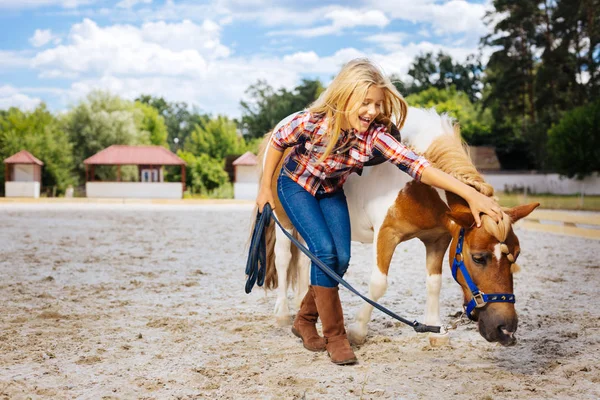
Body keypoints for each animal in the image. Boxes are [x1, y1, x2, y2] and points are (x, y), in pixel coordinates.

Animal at [255, 108, 536, 348]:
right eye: (478, 258)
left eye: (516, 255)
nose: (505, 329)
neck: (416, 187)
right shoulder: (386, 234)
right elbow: (378, 283)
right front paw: (357, 330)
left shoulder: (438, 240)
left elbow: (434, 282)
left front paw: (435, 330)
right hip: (284, 221)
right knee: (283, 259)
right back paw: (282, 314)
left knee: (308, 261)